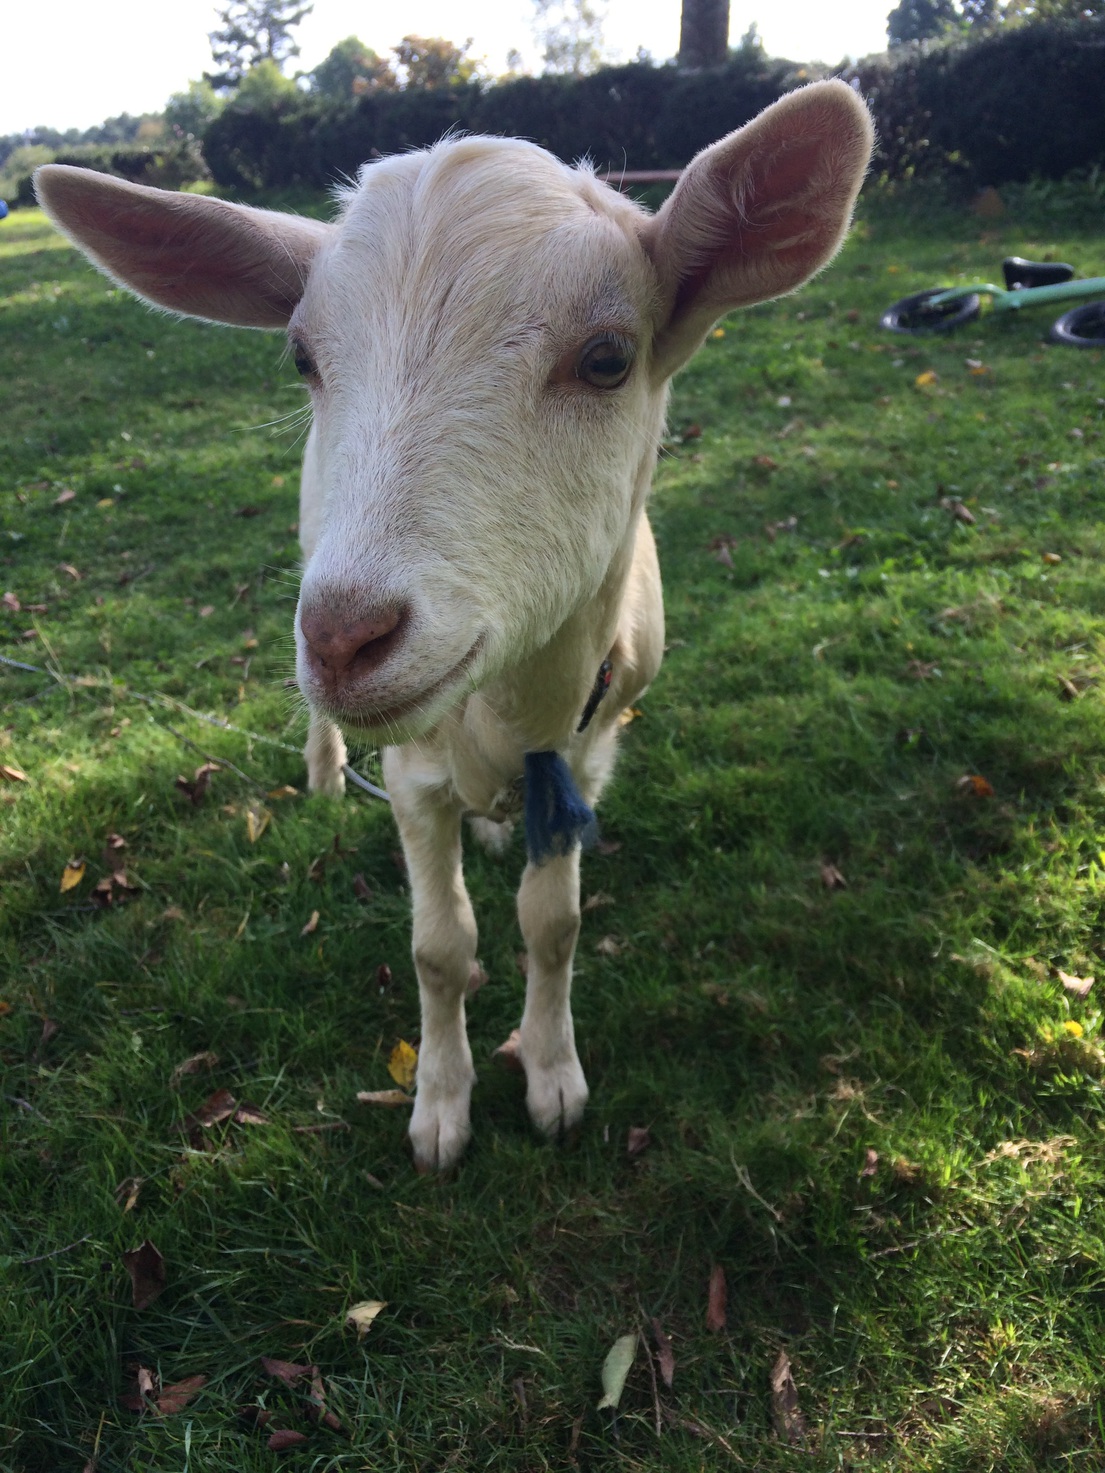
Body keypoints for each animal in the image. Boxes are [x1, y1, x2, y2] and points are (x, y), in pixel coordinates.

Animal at [36, 86, 872, 1172]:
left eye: (607, 358)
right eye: (302, 357)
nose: (345, 639)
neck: (511, 709)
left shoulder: (582, 758)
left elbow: (552, 924)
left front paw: (552, 1077)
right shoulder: (410, 772)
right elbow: (440, 947)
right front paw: (440, 1106)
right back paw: (323, 769)